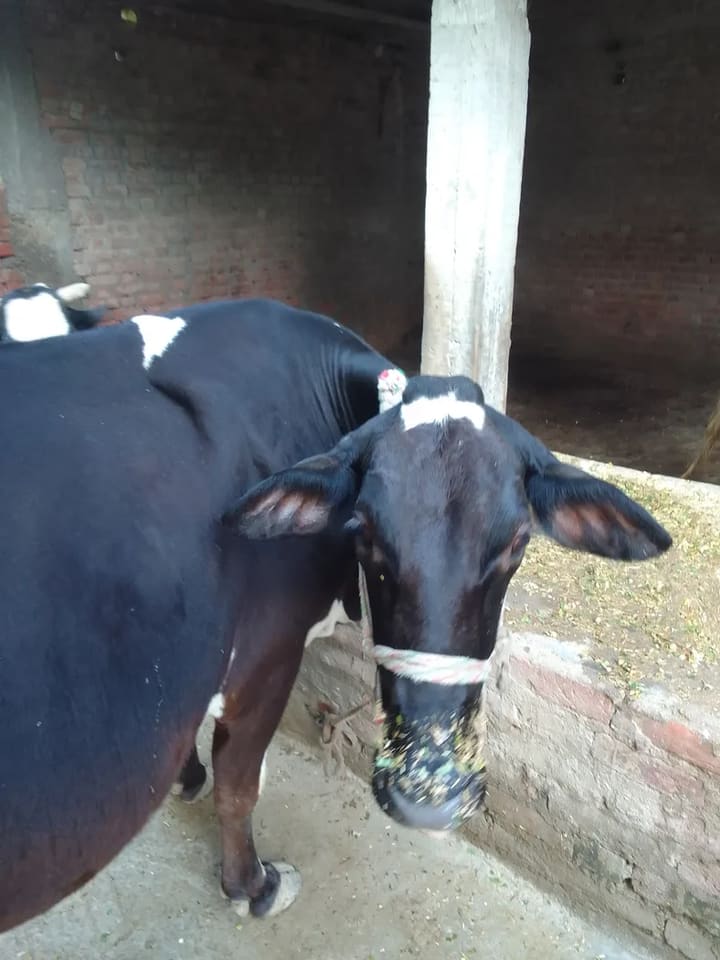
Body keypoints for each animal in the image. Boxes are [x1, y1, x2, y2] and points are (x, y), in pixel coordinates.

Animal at [0, 297, 672, 934]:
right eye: (365, 533)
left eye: (517, 542)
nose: (428, 799)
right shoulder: (267, 656)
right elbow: (239, 787)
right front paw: (253, 886)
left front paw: (186, 780)